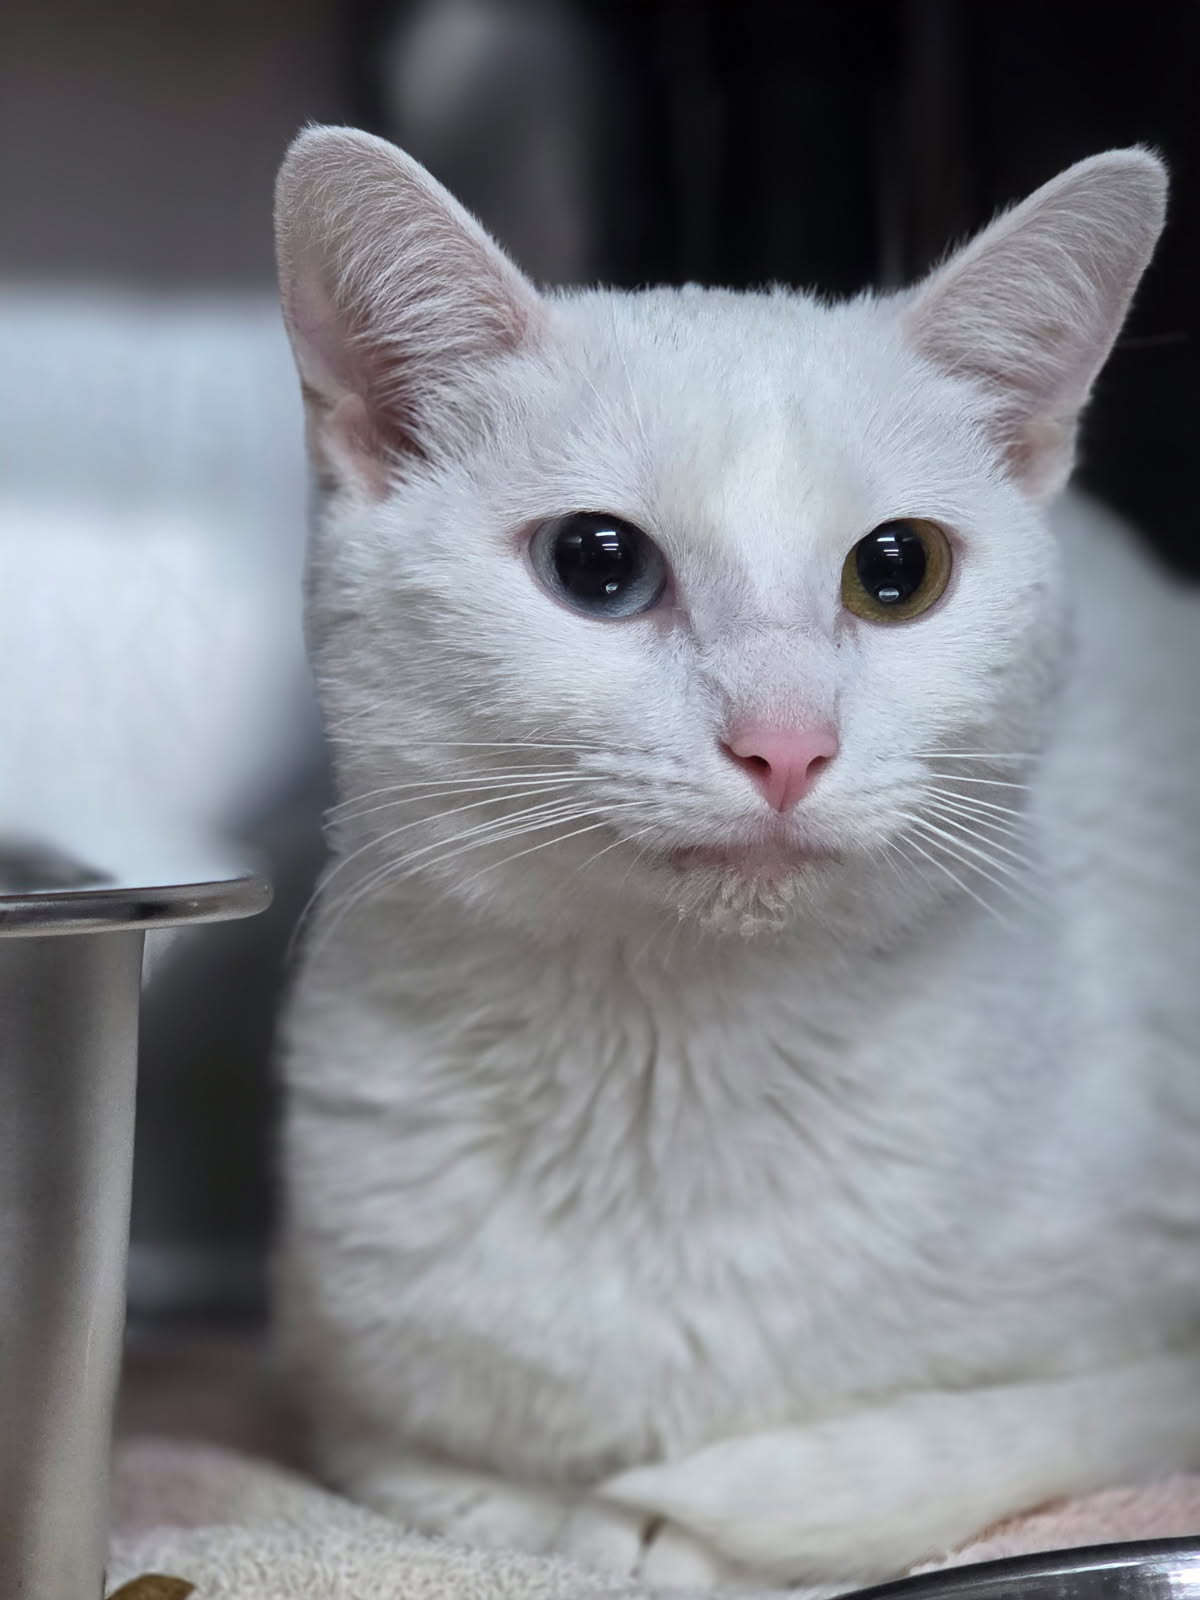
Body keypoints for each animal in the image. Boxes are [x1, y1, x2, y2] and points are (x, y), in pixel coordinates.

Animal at [273, 125, 1200, 1589]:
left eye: (898, 569)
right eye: (596, 563)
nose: (784, 742)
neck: (677, 1070)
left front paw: (668, 1522)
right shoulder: (334, 1372)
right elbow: (453, 1481)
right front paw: (571, 1511)